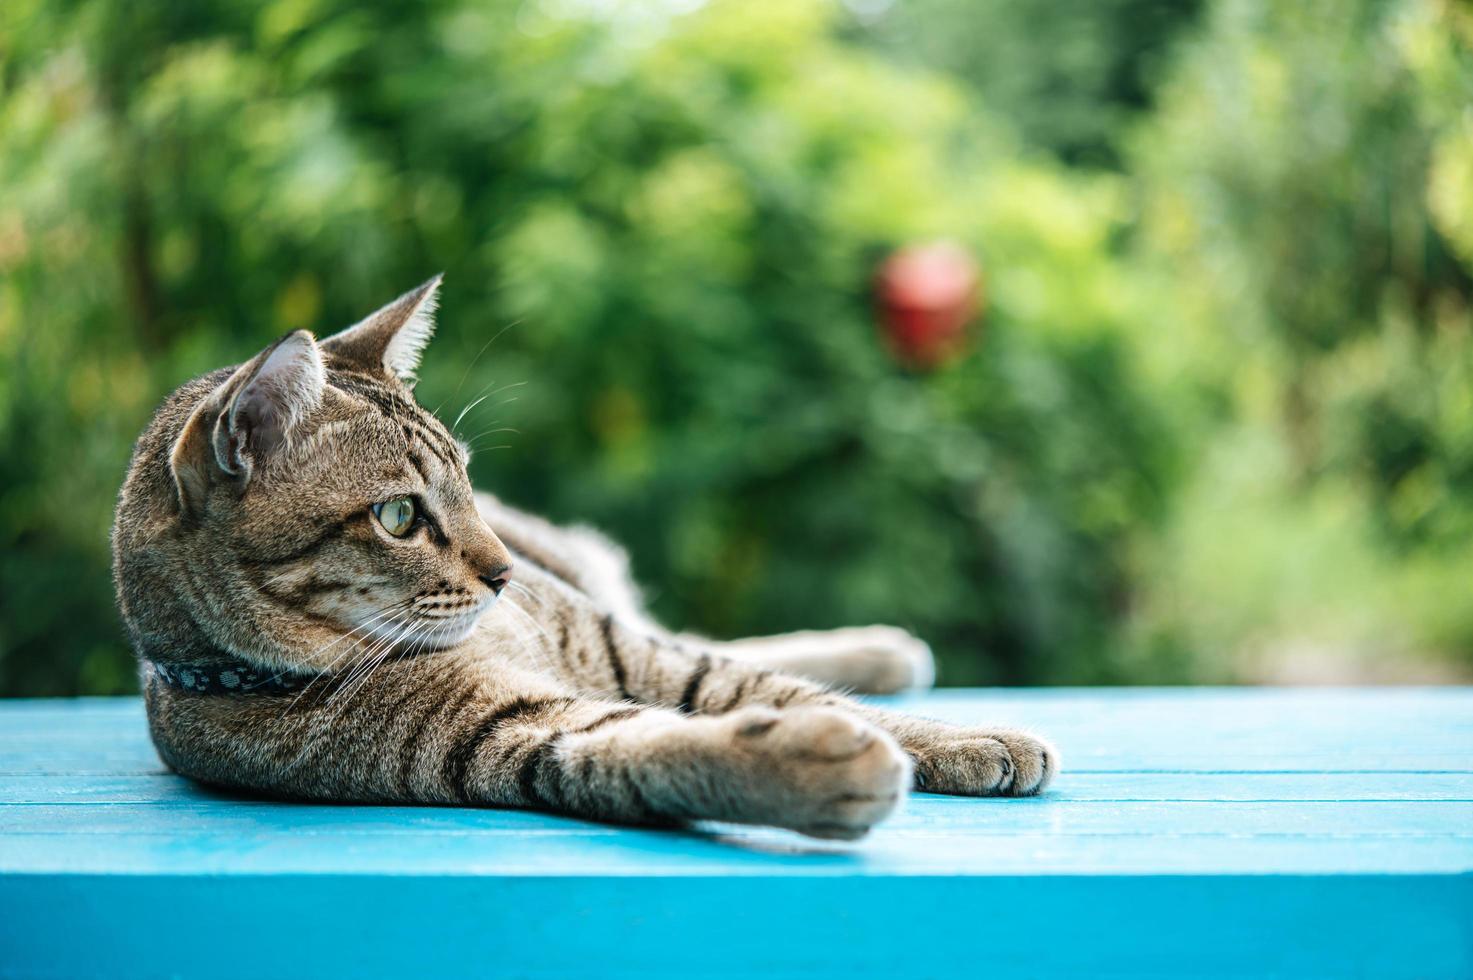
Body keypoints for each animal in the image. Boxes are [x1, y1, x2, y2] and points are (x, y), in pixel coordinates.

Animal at [117, 277, 1060, 842]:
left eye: (467, 479)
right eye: (397, 516)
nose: (503, 575)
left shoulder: (621, 651)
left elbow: (755, 684)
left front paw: (959, 736)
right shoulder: (518, 737)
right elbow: (654, 752)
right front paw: (809, 765)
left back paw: (883, 650)